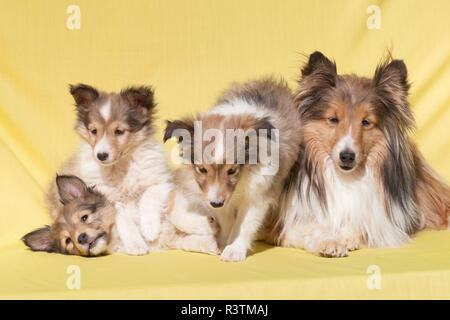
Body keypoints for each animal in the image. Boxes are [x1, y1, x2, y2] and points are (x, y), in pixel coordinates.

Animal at [22, 174, 220, 256]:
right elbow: (188, 241)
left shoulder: (171, 193)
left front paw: (208, 225)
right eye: (68, 241)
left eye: (84, 218)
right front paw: (209, 243)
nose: (81, 238)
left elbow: (178, 217)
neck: (115, 235)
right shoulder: (172, 240)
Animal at [163, 78, 300, 262]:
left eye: (232, 171)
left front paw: (234, 249)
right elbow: (225, 220)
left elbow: (244, 224)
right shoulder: (214, 196)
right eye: (202, 169)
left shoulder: (258, 195)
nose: (216, 203)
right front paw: (222, 242)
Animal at [274, 52, 450, 258]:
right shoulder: (278, 225)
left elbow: (363, 223)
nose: (347, 156)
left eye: (366, 122)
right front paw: (329, 242)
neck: (344, 178)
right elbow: (309, 227)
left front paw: (347, 237)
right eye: (333, 119)